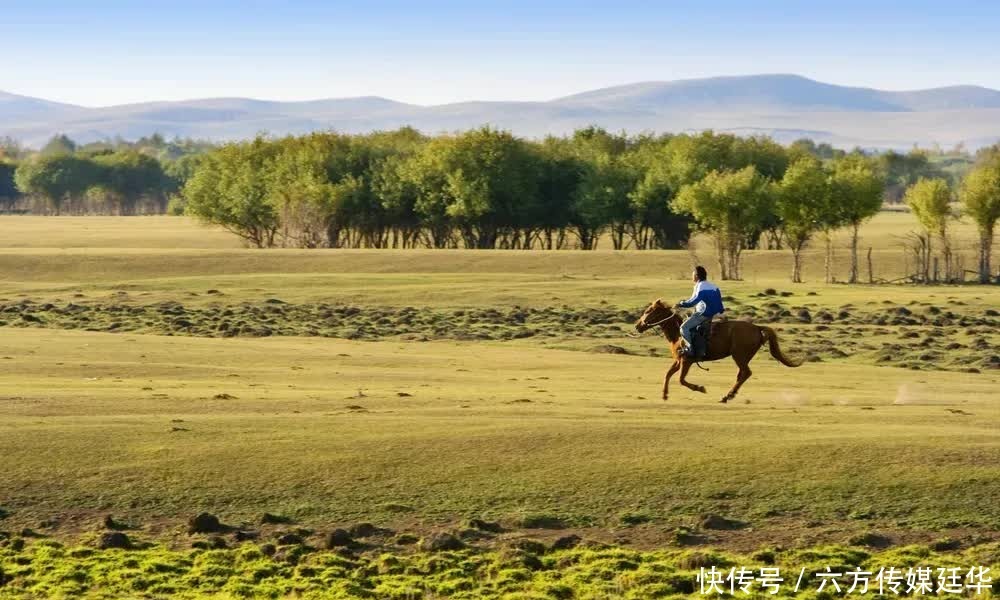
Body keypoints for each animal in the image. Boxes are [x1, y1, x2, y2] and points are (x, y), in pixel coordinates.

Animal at [632, 298, 804, 404]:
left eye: (648, 311)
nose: (637, 325)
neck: (678, 334)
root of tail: (757, 328)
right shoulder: (679, 360)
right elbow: (667, 374)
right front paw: (664, 394)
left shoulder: (687, 361)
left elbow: (681, 380)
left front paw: (700, 388)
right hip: (742, 358)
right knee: (741, 375)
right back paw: (728, 396)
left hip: (739, 356)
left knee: (746, 373)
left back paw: (728, 396)